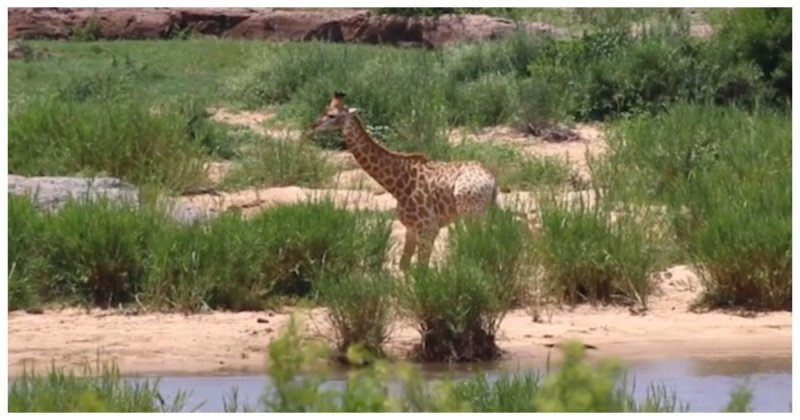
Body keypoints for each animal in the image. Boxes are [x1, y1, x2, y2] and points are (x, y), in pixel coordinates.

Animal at [312, 91, 500, 270]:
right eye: (324, 110)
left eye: (332, 115)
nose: (313, 127)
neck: (397, 183)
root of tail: (492, 180)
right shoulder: (411, 227)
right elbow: (405, 265)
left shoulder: (428, 227)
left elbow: (422, 268)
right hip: (485, 212)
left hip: (471, 213)